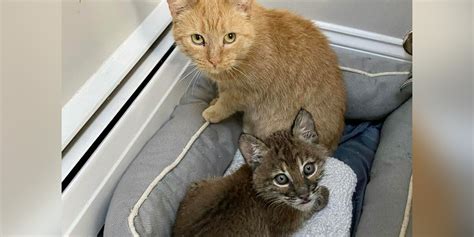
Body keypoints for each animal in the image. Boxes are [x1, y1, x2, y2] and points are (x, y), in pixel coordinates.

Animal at [168, 0, 346, 152]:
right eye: (197, 38)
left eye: (230, 37)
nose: (214, 61)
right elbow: (222, 93)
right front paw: (215, 100)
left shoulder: (246, 92)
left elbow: (227, 103)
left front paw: (214, 111)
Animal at [173, 110, 330, 236]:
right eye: (281, 179)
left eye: (308, 169)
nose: (304, 195)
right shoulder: (287, 224)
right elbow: (307, 208)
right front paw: (322, 193)